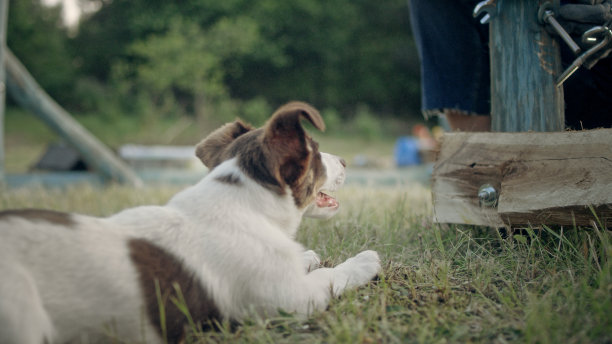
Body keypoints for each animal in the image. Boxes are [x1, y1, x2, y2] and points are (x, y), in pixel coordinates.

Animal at [0, 102, 380, 344]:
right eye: (314, 151)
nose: (345, 160)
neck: (245, 203)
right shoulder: (293, 302)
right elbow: (332, 275)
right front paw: (363, 261)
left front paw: (306, 256)